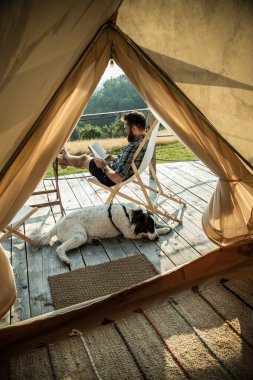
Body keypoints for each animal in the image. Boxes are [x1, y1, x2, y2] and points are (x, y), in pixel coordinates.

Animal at [30, 203, 171, 262]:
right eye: (148, 226)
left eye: (151, 225)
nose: (157, 239)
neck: (130, 214)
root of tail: (57, 223)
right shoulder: (129, 233)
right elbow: (145, 233)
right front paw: (163, 230)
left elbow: (159, 223)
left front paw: (166, 226)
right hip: (79, 235)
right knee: (60, 248)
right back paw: (65, 259)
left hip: (81, 236)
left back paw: (94, 240)